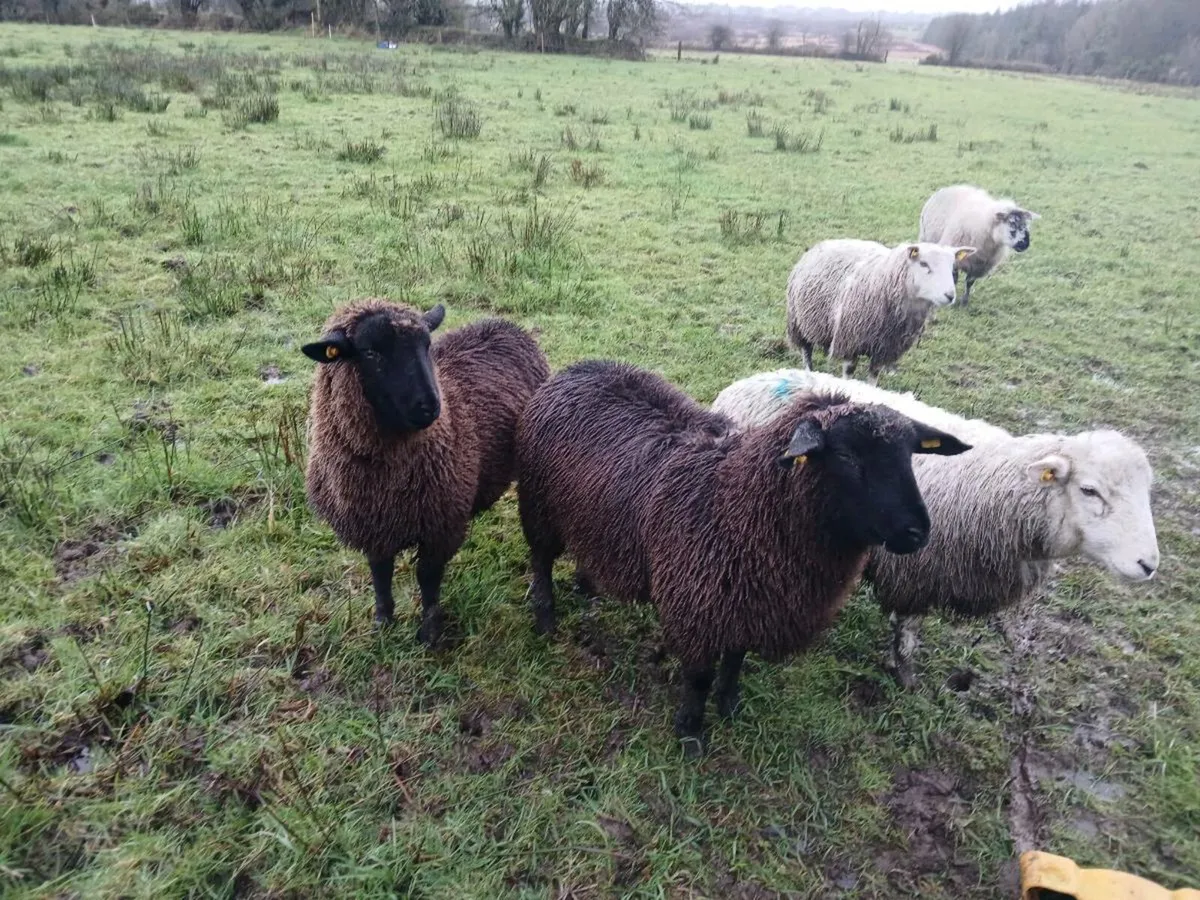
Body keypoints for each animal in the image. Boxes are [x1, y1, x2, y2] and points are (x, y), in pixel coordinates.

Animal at [302, 299, 550, 647]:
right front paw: (383, 624)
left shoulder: (440, 526)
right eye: (370, 352)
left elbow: (427, 578)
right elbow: (380, 574)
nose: (429, 406)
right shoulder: (372, 526)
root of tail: (504, 324)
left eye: (427, 345)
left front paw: (430, 634)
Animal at [516, 360, 970, 753]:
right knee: (541, 560)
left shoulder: (747, 602)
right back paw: (545, 617)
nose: (917, 532)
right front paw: (691, 733)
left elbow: (735, 660)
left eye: (910, 455)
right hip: (539, 506)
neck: (737, 501)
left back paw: (587, 584)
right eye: (845, 456)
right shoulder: (696, 606)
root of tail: (577, 368)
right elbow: (699, 677)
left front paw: (729, 706)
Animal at [785, 239, 975, 385]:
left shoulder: (884, 348)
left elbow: (874, 375)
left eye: (952, 266)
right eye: (923, 264)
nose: (950, 296)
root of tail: (823, 243)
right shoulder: (850, 339)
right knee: (806, 351)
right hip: (798, 322)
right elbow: (849, 371)